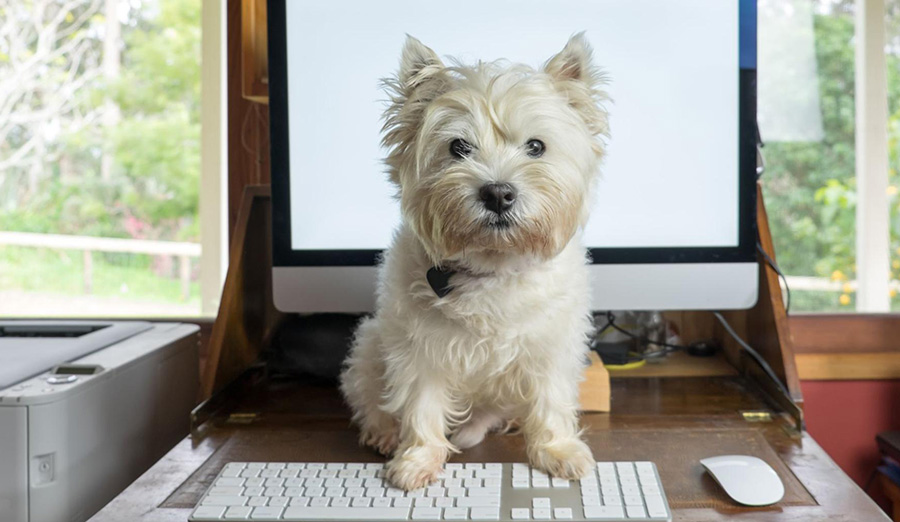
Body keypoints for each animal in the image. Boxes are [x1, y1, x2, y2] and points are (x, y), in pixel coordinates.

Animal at [342, 33, 608, 488]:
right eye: (458, 147)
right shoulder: (419, 349)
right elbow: (421, 404)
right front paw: (417, 460)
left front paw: (557, 450)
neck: (494, 266)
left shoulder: (551, 346)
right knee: (370, 395)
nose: (498, 193)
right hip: (371, 343)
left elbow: (551, 398)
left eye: (536, 146)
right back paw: (383, 433)